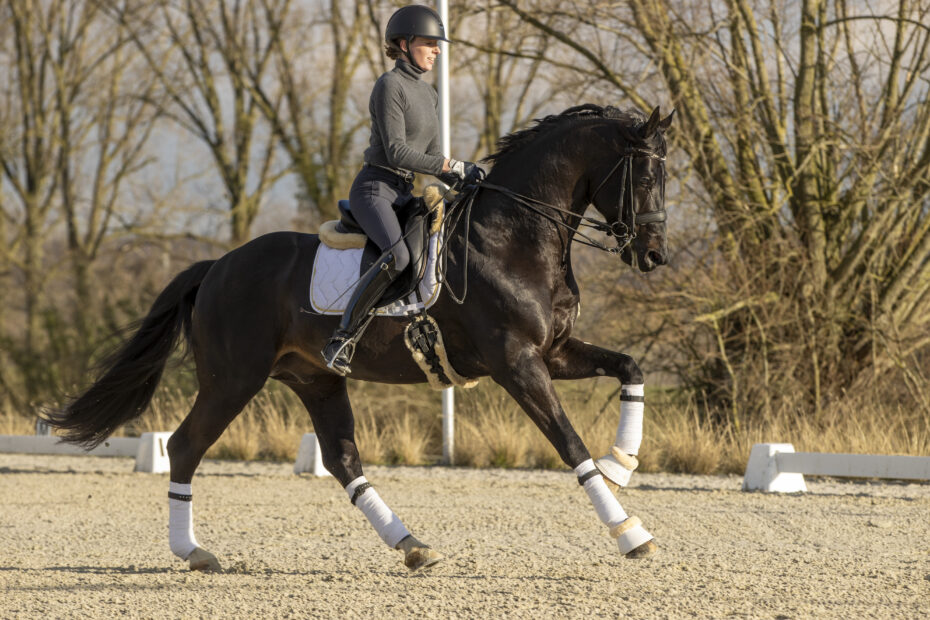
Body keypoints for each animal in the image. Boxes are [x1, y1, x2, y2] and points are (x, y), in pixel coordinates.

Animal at [47, 103, 672, 572]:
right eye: (644, 178)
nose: (654, 256)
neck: (513, 236)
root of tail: (218, 265)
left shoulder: (554, 352)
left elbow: (631, 367)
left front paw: (624, 461)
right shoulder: (516, 362)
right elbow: (568, 442)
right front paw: (628, 530)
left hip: (316, 379)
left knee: (343, 459)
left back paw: (412, 546)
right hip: (233, 379)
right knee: (184, 447)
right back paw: (194, 552)